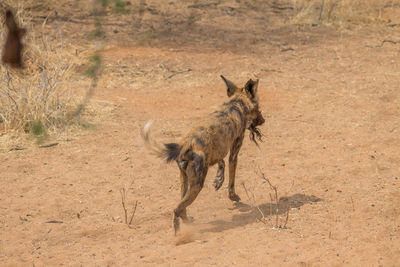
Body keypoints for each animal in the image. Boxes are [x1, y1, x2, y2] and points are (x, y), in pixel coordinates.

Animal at [141, 75, 266, 234]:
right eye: (258, 108)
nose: (263, 120)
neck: (235, 105)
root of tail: (186, 144)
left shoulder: (216, 152)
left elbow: (221, 163)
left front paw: (218, 180)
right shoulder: (234, 152)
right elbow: (231, 180)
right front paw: (233, 196)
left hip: (185, 181)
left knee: (181, 208)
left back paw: (187, 221)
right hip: (197, 185)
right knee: (176, 209)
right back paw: (179, 236)